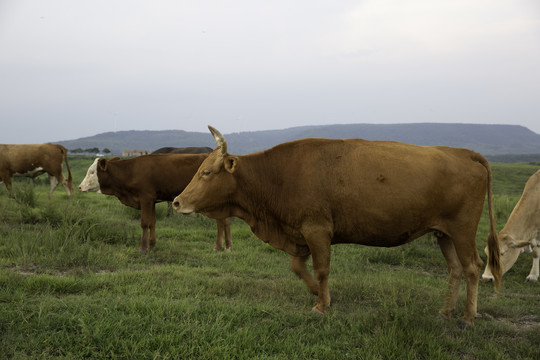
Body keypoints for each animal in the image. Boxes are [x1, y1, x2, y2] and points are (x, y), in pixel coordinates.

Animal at [79, 155, 231, 253]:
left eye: (92, 172)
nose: (80, 187)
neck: (130, 171)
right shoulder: (151, 201)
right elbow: (152, 222)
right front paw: (152, 246)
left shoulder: (145, 198)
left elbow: (144, 223)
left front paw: (142, 249)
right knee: (225, 221)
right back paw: (227, 246)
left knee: (221, 221)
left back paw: (218, 247)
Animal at [173, 126, 502, 326]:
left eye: (205, 172)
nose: (177, 202)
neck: (277, 175)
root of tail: (462, 152)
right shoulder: (301, 234)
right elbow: (298, 266)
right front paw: (317, 293)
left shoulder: (317, 230)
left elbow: (321, 269)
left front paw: (321, 304)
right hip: (443, 233)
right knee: (455, 269)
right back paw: (445, 311)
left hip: (462, 232)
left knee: (472, 267)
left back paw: (468, 317)